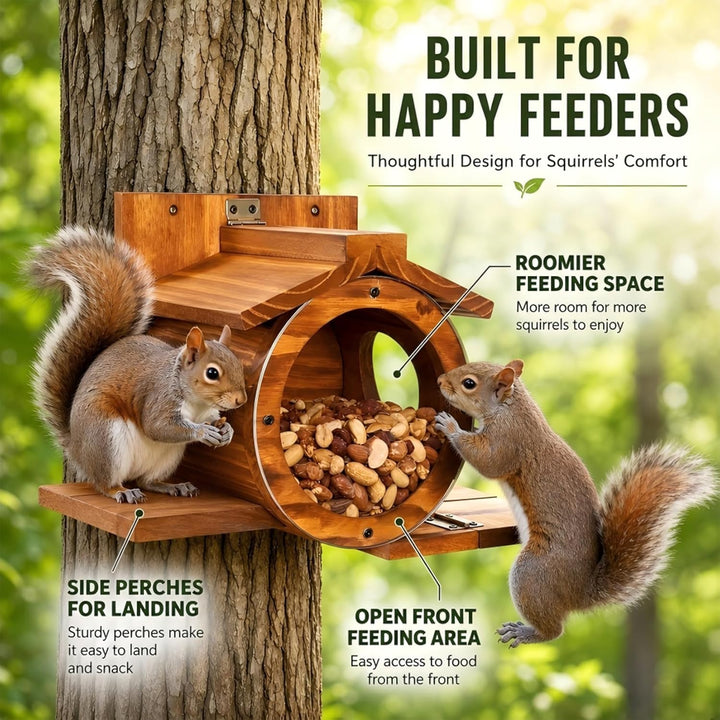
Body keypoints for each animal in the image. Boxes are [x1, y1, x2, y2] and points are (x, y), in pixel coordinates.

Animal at [27, 226, 247, 504]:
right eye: (212, 373)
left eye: (239, 365)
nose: (241, 400)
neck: (196, 402)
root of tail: (77, 448)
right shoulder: (159, 399)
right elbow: (157, 426)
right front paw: (202, 433)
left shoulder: (208, 412)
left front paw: (227, 430)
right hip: (106, 439)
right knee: (104, 483)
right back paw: (122, 491)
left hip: (168, 456)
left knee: (147, 480)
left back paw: (173, 486)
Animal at [435, 359, 716, 647]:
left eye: (469, 383)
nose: (440, 381)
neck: (510, 408)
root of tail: (580, 593)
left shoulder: (509, 441)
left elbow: (488, 461)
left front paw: (450, 427)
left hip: (532, 573)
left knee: (554, 631)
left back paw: (524, 632)